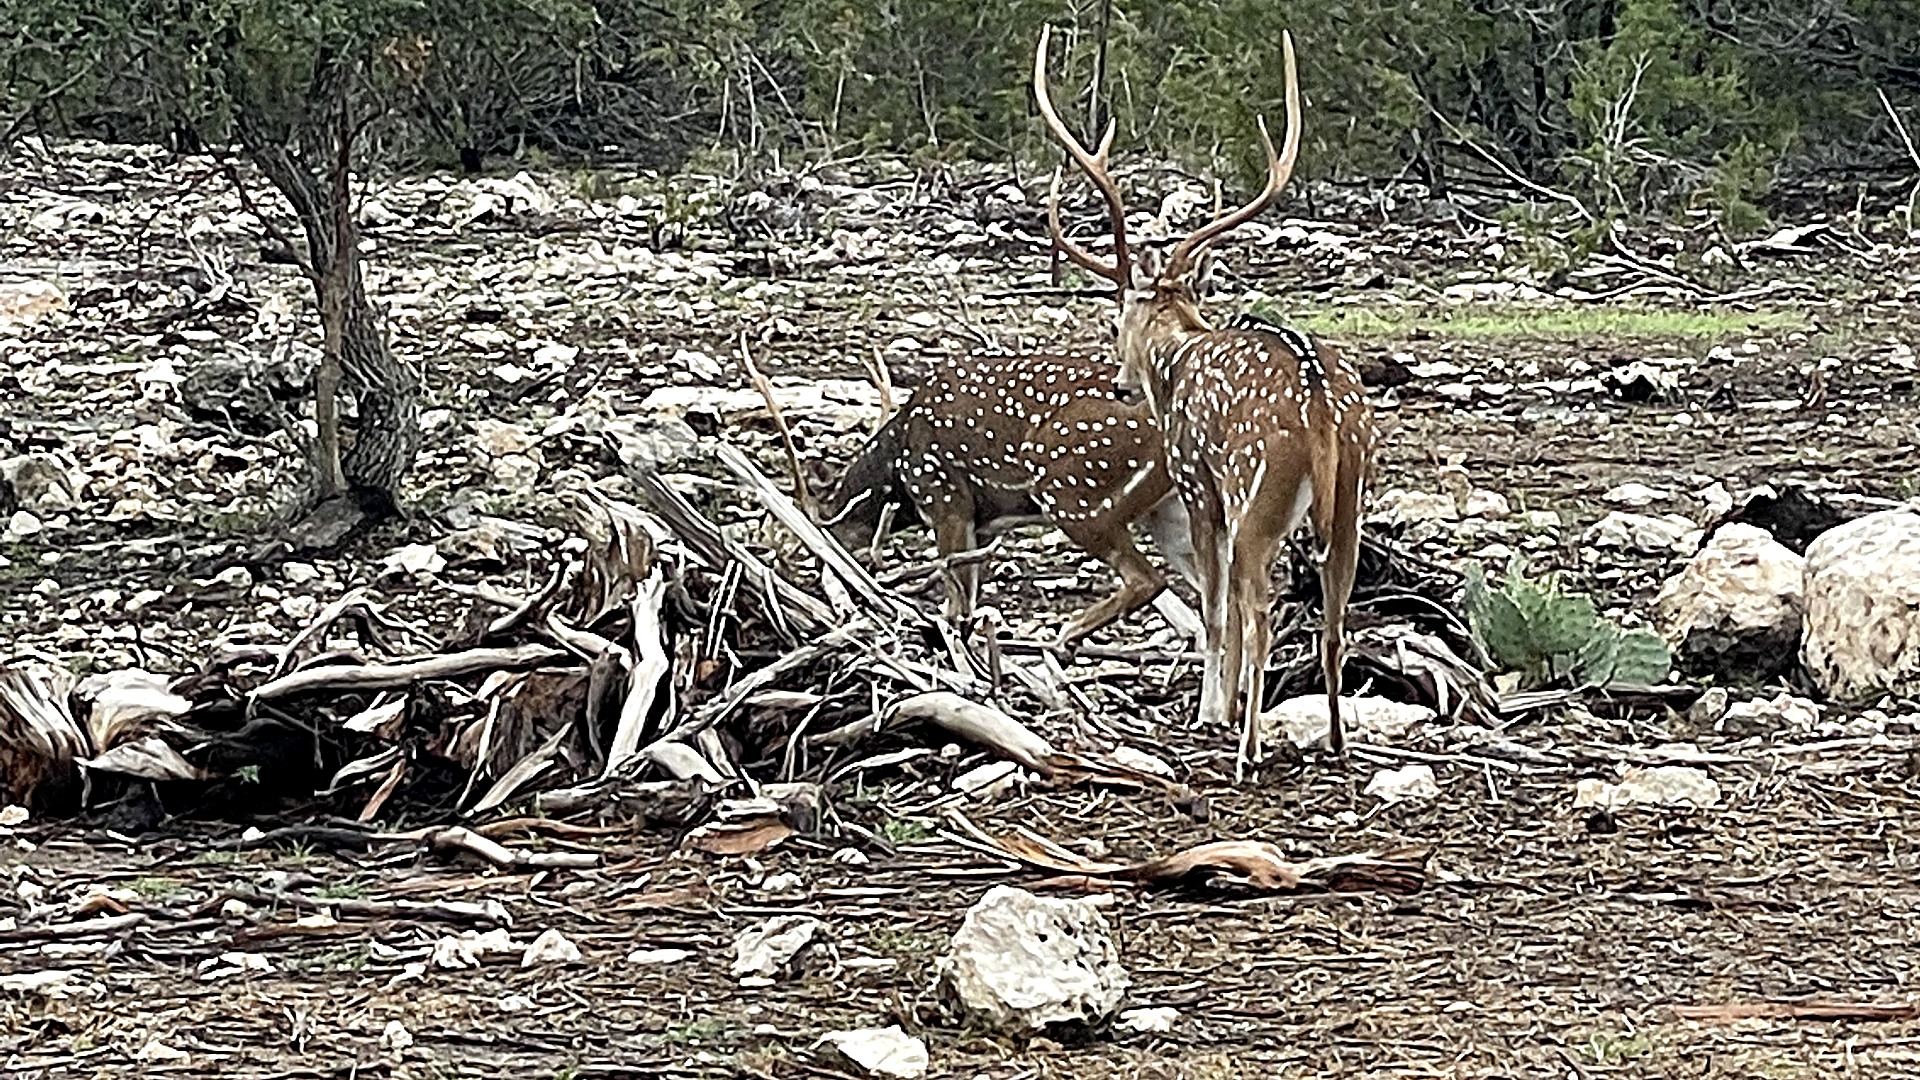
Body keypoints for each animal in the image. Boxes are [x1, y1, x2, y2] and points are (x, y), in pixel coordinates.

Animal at [819, 348, 1203, 649]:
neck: (897, 464)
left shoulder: (945, 497)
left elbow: (957, 602)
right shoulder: (981, 526)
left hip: (1069, 490)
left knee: (1146, 579)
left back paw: (1065, 636)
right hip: (1169, 513)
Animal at [1034, 25, 1374, 776]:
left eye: (1115, 321)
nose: (1121, 384)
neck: (1178, 352)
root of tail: (1320, 416)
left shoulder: (1197, 485)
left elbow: (1217, 607)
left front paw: (1211, 711)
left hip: (1256, 496)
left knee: (1260, 610)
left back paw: (1248, 748)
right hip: (1353, 500)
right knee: (1335, 616)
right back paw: (1336, 740)